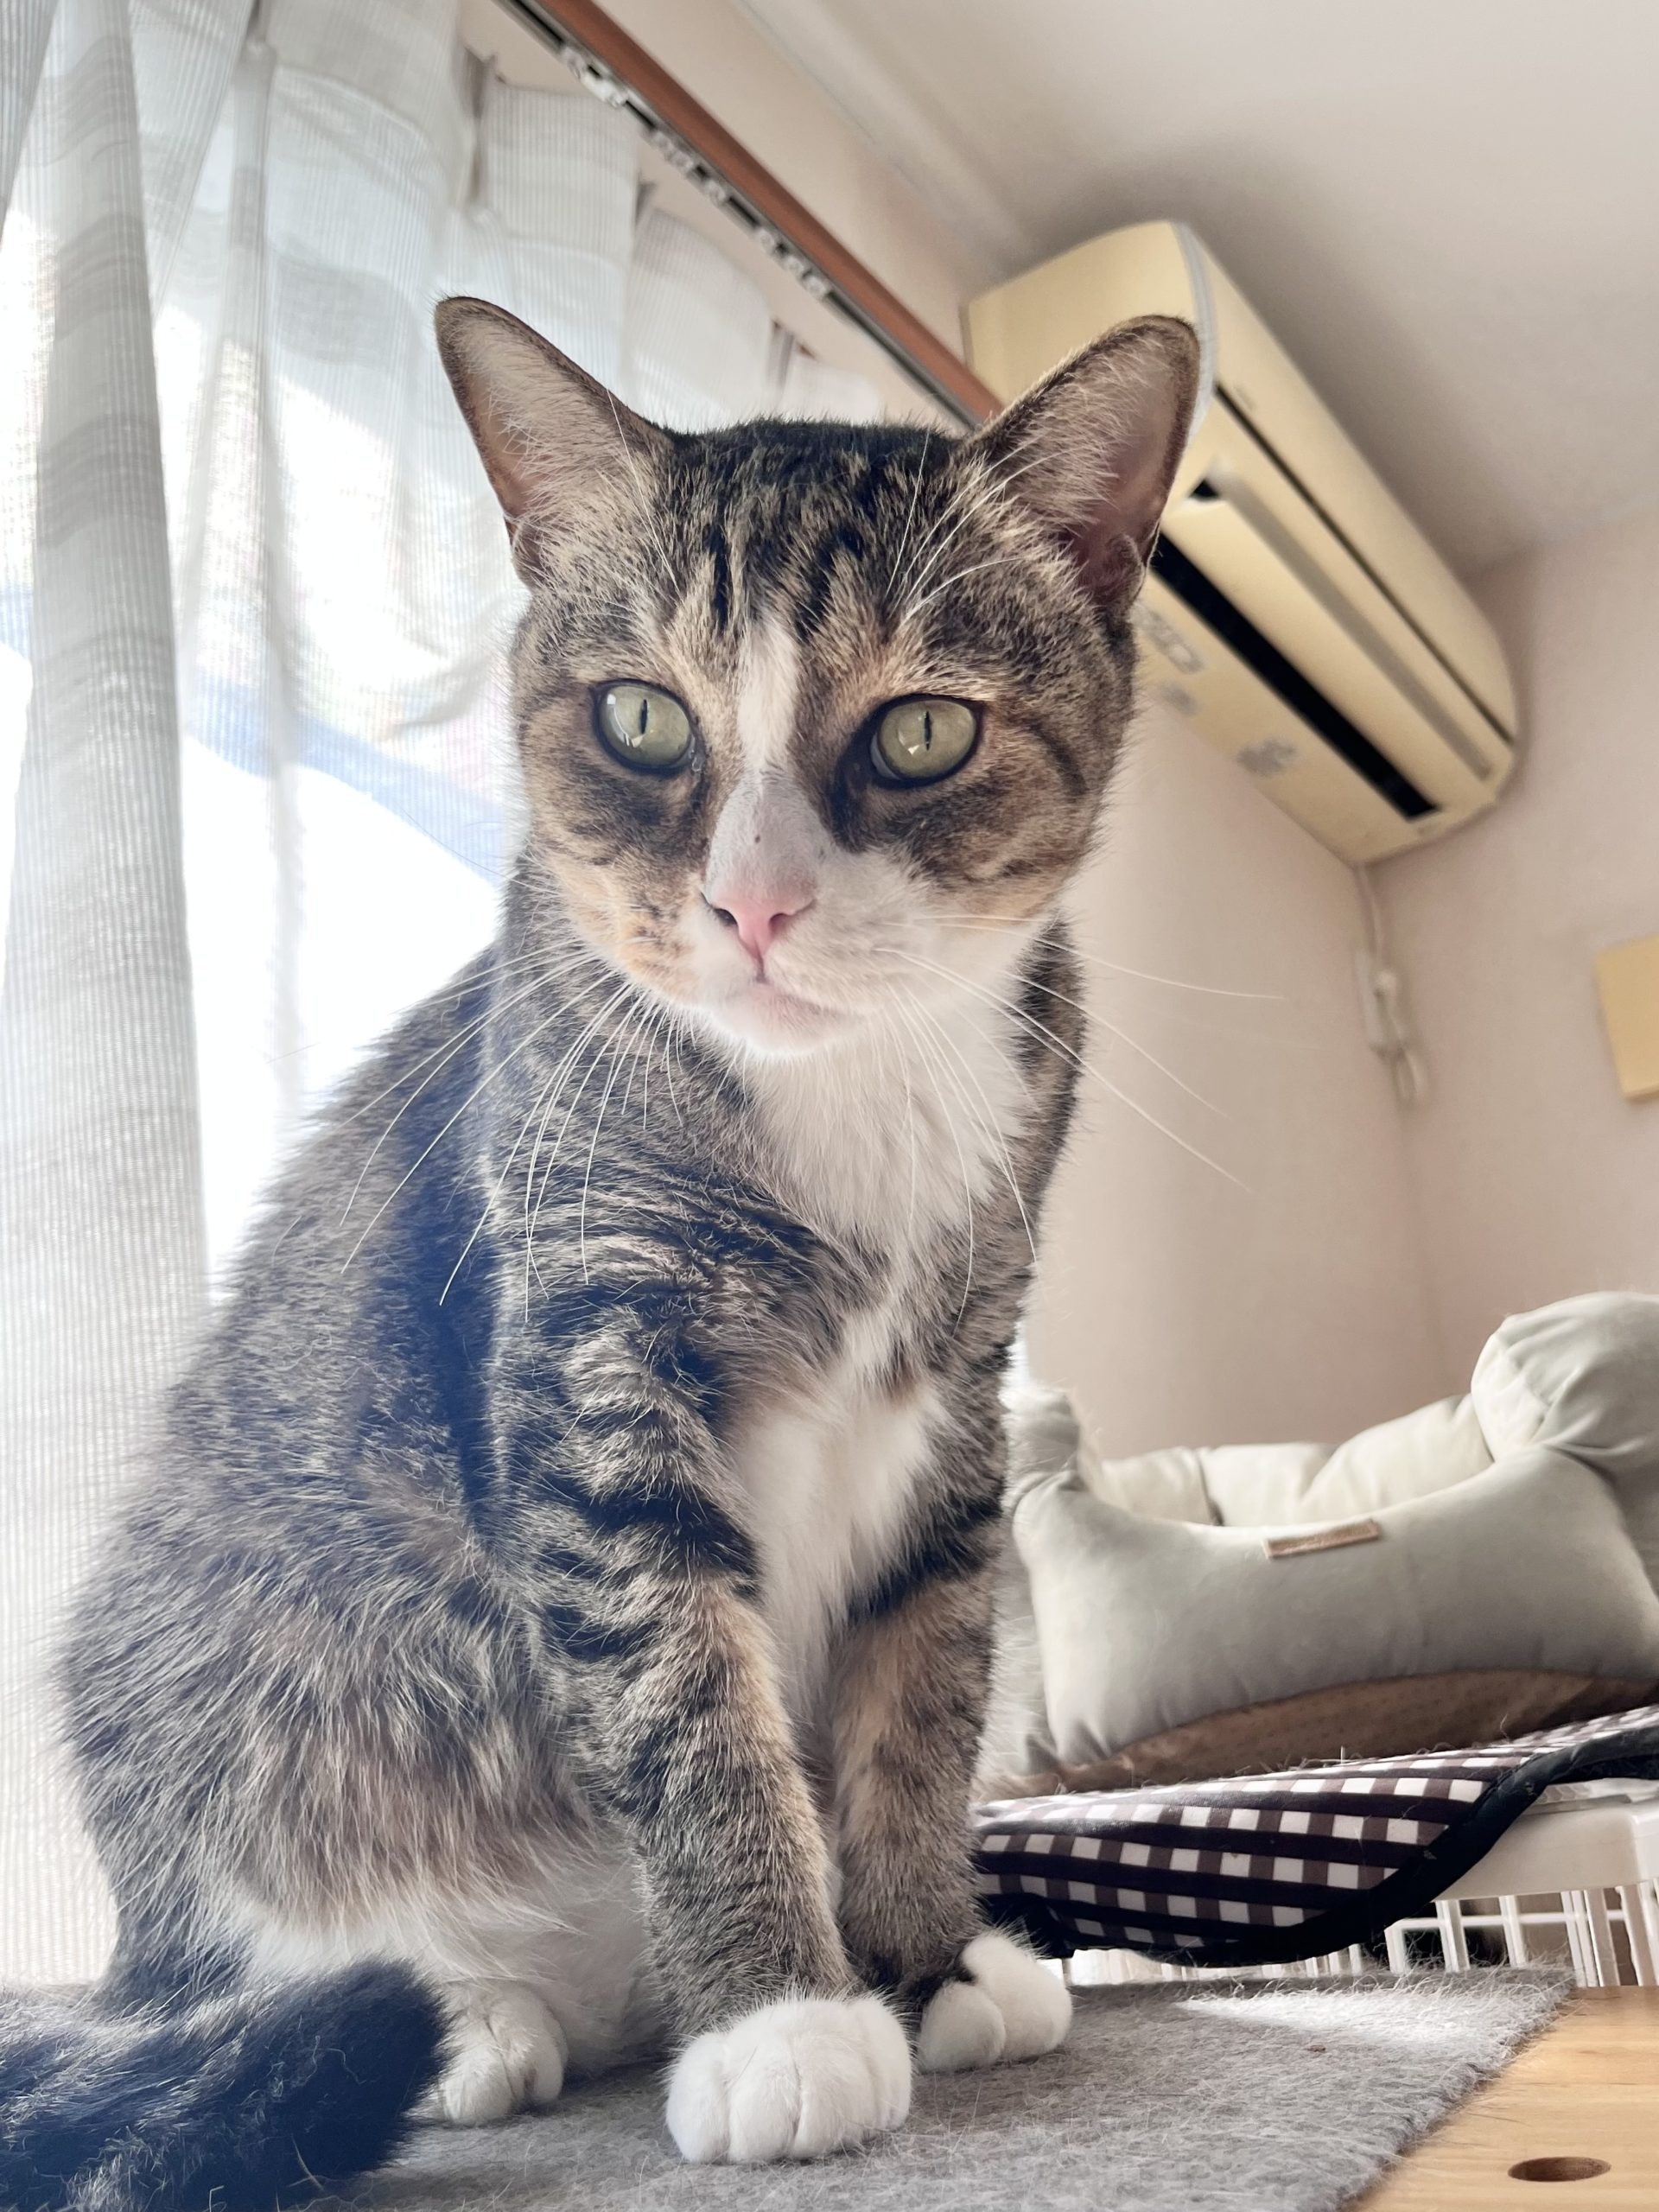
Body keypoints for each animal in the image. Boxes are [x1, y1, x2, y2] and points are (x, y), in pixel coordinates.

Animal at [0, 296, 1197, 2209]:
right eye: (641, 716)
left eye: (922, 734)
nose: (755, 901)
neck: (844, 1096)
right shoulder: (592, 1362)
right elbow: (687, 1699)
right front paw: (786, 2013)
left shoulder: (959, 1384)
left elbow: (923, 1680)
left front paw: (925, 1952)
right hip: (202, 1703)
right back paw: (470, 2023)